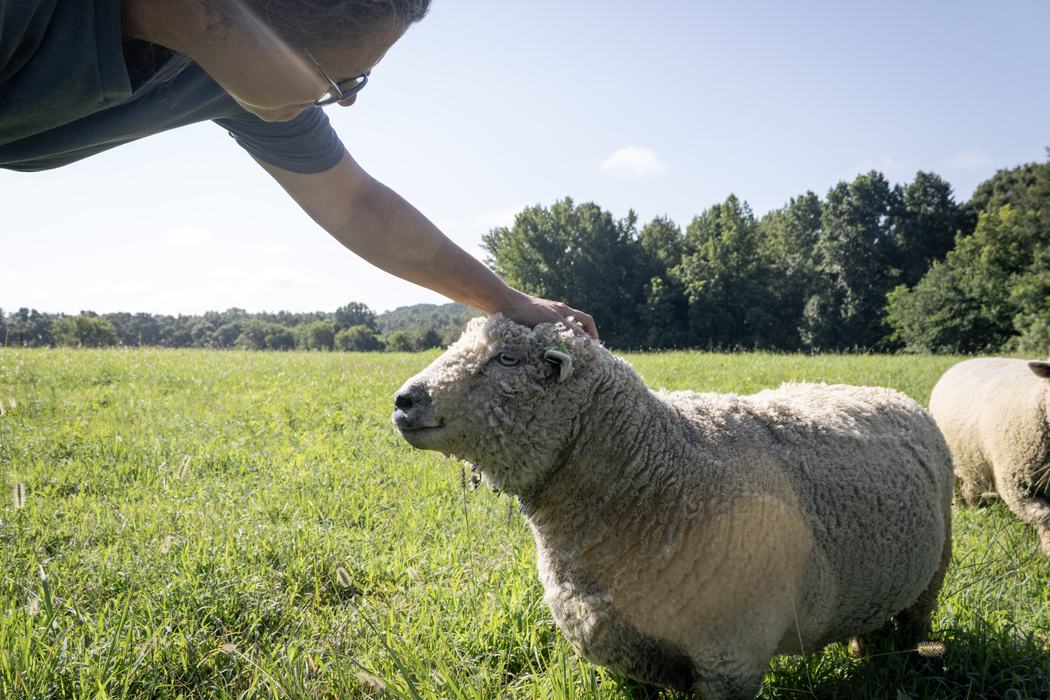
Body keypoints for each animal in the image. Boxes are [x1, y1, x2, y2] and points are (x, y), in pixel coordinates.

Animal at [392, 315, 954, 699]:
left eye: (507, 359)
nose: (402, 400)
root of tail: (889, 392)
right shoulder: (627, 654)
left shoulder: (730, 655)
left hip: (933, 573)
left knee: (911, 627)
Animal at [929, 357, 1050, 556]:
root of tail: (962, 363)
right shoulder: (1016, 484)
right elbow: (1044, 516)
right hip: (952, 460)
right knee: (956, 491)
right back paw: (961, 510)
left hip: (973, 460)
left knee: (970, 489)